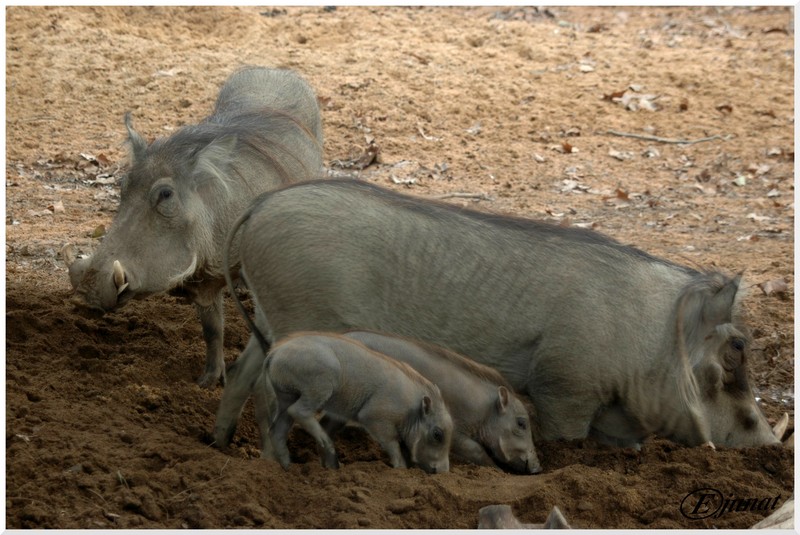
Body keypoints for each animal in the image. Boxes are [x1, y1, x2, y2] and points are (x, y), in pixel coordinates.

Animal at [63, 66, 324, 387]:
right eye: (123, 185)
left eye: (165, 195)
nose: (85, 297)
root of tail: (275, 69)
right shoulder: (206, 279)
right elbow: (212, 328)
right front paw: (208, 382)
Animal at [214, 179, 783, 450]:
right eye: (734, 351)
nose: (769, 447)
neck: (653, 336)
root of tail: (261, 204)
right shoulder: (564, 390)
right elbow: (568, 439)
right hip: (299, 323)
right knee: (272, 390)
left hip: (269, 319)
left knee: (242, 375)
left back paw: (220, 446)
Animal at [253, 332, 453, 473]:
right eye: (437, 434)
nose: (443, 472)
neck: (411, 409)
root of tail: (274, 353)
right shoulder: (376, 419)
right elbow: (393, 444)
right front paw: (401, 470)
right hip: (318, 388)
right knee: (299, 412)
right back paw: (327, 446)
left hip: (285, 396)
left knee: (277, 430)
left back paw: (289, 468)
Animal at [340, 330, 541, 473]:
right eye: (521, 423)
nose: (539, 468)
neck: (482, 410)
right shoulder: (456, 432)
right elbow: (476, 450)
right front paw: (498, 471)